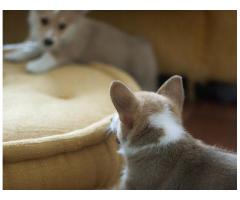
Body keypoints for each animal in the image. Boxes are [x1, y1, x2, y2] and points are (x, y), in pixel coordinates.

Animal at [4, 10, 158, 90]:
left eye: (62, 26)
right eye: (44, 20)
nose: (48, 41)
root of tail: (145, 44)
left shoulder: (69, 50)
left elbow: (51, 57)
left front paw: (35, 66)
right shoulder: (43, 43)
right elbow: (32, 48)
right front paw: (16, 55)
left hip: (142, 74)